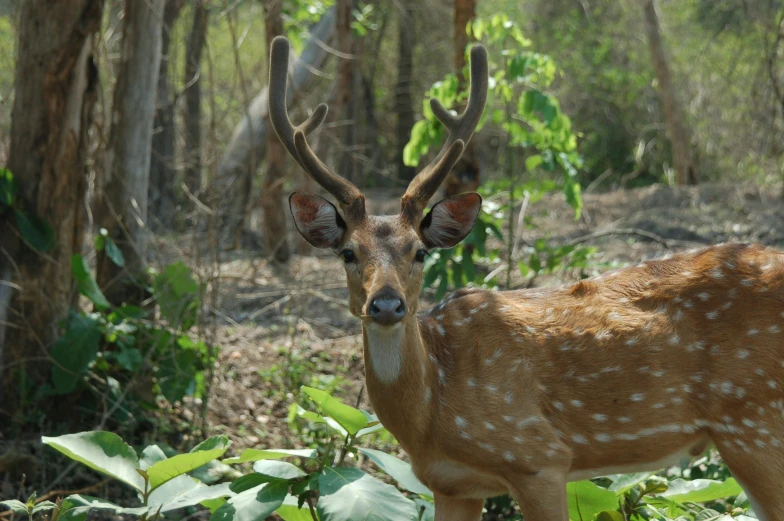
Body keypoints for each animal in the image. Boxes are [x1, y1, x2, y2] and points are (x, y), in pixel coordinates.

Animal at [268, 36, 784, 520]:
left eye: (420, 251)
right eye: (347, 253)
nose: (387, 304)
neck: (431, 414)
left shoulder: (538, 457)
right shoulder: (449, 484)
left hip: (754, 420)